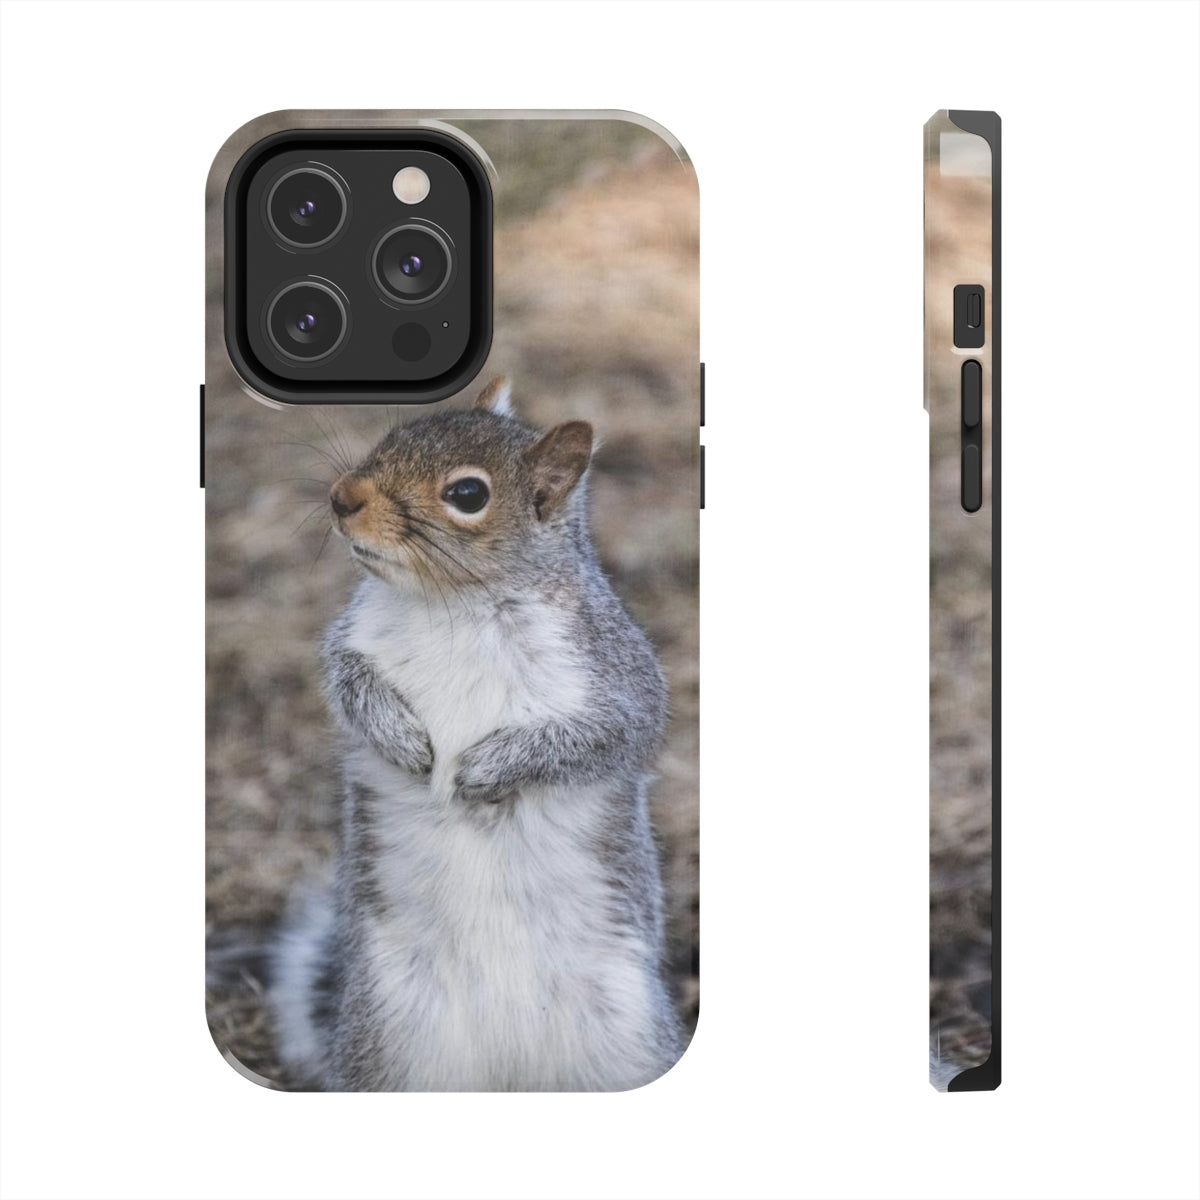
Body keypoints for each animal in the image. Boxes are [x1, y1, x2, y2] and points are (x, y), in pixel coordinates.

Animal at [270, 376, 683, 1091]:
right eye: (394, 434)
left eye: (468, 495)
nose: (343, 498)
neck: (454, 603)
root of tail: (506, 1069)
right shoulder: (352, 640)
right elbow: (347, 683)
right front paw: (400, 737)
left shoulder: (615, 677)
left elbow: (603, 736)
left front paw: (487, 768)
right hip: (394, 1038)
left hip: (621, 1037)